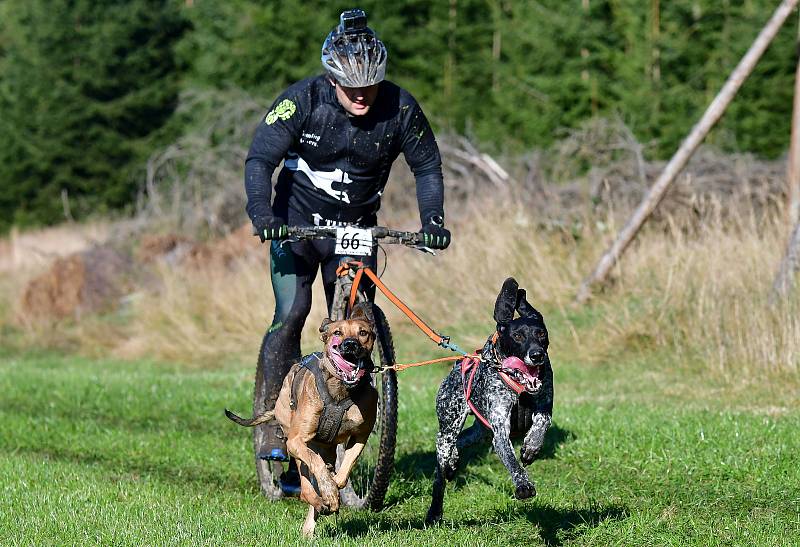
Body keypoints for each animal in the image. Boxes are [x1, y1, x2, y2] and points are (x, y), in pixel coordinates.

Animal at [225, 306, 376, 536]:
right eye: (337, 333)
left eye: (363, 333)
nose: (350, 344)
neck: (341, 390)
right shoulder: (296, 441)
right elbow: (317, 465)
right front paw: (329, 491)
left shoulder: (361, 435)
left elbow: (345, 469)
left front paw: (334, 486)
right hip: (294, 443)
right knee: (306, 484)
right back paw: (318, 503)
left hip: (327, 450)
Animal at [428, 280, 552, 524]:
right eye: (518, 336)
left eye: (541, 333)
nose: (537, 355)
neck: (519, 386)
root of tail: (458, 364)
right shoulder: (500, 431)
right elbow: (512, 462)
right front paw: (523, 485)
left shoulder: (544, 405)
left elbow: (542, 422)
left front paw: (531, 446)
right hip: (450, 426)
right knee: (441, 461)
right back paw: (434, 510)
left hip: (481, 431)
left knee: (462, 440)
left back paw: (455, 459)